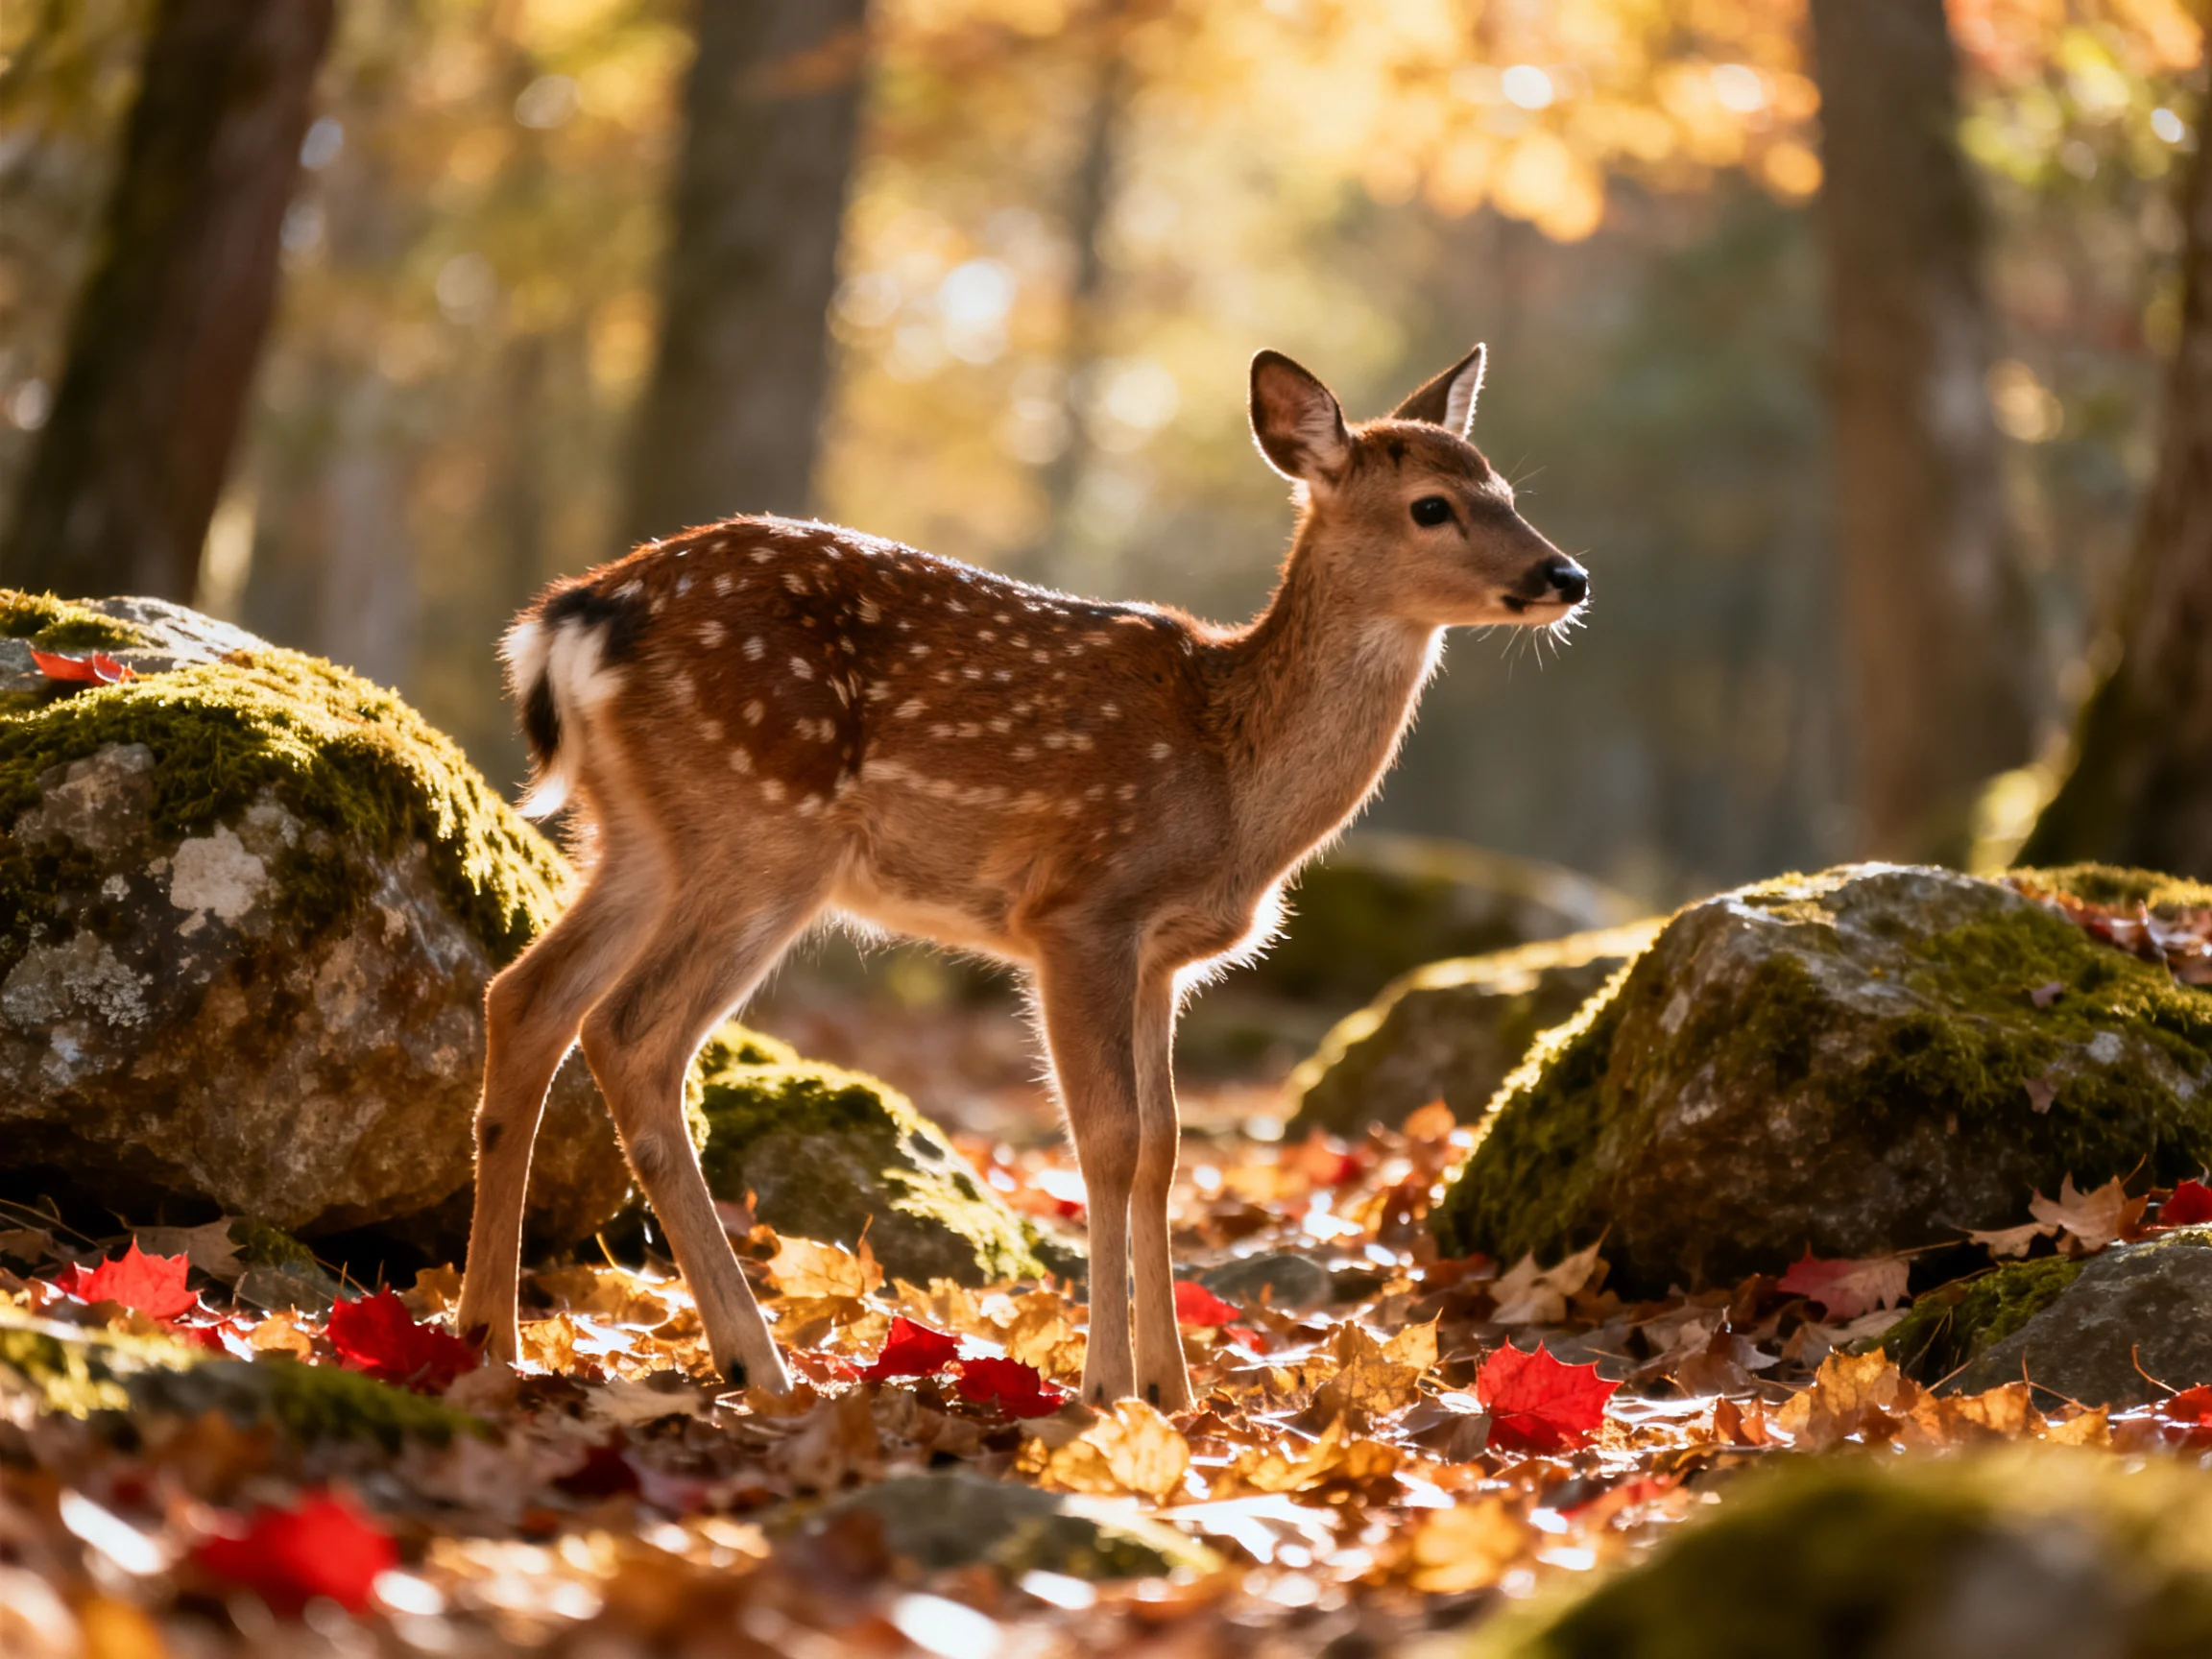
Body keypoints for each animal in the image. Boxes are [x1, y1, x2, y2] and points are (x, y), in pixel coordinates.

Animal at [454, 345, 1588, 1410]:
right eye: (1432, 506)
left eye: (1505, 489)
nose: (1567, 576)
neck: (1233, 781)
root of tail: (575, 616)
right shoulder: (1080, 911)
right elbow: (1109, 1141)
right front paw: (1108, 1389)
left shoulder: (1162, 958)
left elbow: (1166, 1146)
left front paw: (1177, 1393)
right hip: (761, 829)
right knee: (632, 1033)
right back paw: (753, 1359)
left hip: (641, 837)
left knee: (526, 996)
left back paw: (486, 1340)